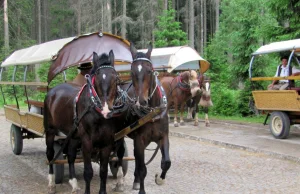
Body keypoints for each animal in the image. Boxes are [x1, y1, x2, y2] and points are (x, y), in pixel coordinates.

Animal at [44, 50, 121, 194]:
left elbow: (103, 171)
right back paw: (51, 183)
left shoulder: (107, 143)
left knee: (70, 155)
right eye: (97, 78)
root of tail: (52, 91)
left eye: (116, 79)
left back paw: (74, 183)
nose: (106, 110)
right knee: (50, 154)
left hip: (73, 135)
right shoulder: (87, 142)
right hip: (50, 130)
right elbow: (88, 172)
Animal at [112, 42, 170, 194]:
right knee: (120, 154)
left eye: (149, 71)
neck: (152, 111)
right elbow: (143, 168)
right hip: (119, 135)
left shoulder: (163, 136)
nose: (141, 101)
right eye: (132, 72)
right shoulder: (139, 139)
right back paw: (120, 180)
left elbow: (166, 162)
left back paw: (136, 180)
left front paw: (160, 179)